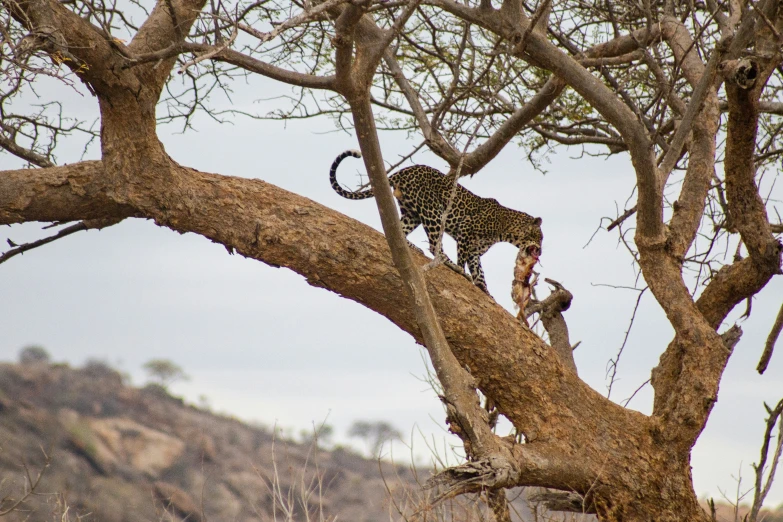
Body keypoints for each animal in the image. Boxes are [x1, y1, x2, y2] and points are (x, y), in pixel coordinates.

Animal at [328, 148, 544, 292]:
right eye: (540, 237)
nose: (541, 250)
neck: (506, 229)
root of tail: (404, 170)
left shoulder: (476, 251)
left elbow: (480, 272)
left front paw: (485, 290)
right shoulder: (466, 231)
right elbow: (463, 259)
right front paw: (461, 270)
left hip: (412, 213)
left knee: (399, 231)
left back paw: (413, 247)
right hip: (432, 211)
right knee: (434, 246)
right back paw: (446, 262)